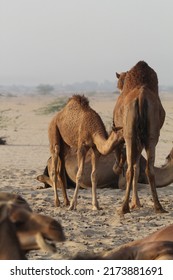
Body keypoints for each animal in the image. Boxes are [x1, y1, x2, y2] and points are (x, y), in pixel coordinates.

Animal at [113, 60, 166, 214]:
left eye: (119, 85)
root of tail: (141, 97)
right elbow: (138, 168)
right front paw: (137, 203)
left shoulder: (124, 134)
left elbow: (133, 166)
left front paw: (135, 203)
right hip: (152, 136)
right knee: (149, 169)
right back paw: (158, 206)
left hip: (130, 135)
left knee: (130, 169)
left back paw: (123, 207)